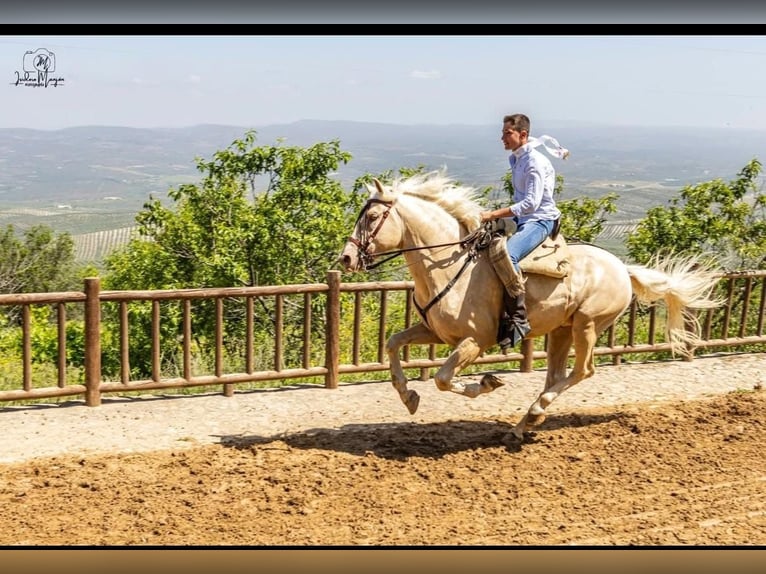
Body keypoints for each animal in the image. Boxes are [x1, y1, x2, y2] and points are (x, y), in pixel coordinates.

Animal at [338, 171, 723, 441]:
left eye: (371, 218)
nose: (347, 258)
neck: (448, 264)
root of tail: (622, 269)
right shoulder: (435, 332)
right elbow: (393, 344)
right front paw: (408, 397)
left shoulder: (474, 341)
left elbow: (444, 379)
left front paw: (487, 383)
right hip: (562, 331)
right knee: (556, 375)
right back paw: (524, 424)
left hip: (586, 325)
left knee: (583, 371)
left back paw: (535, 412)